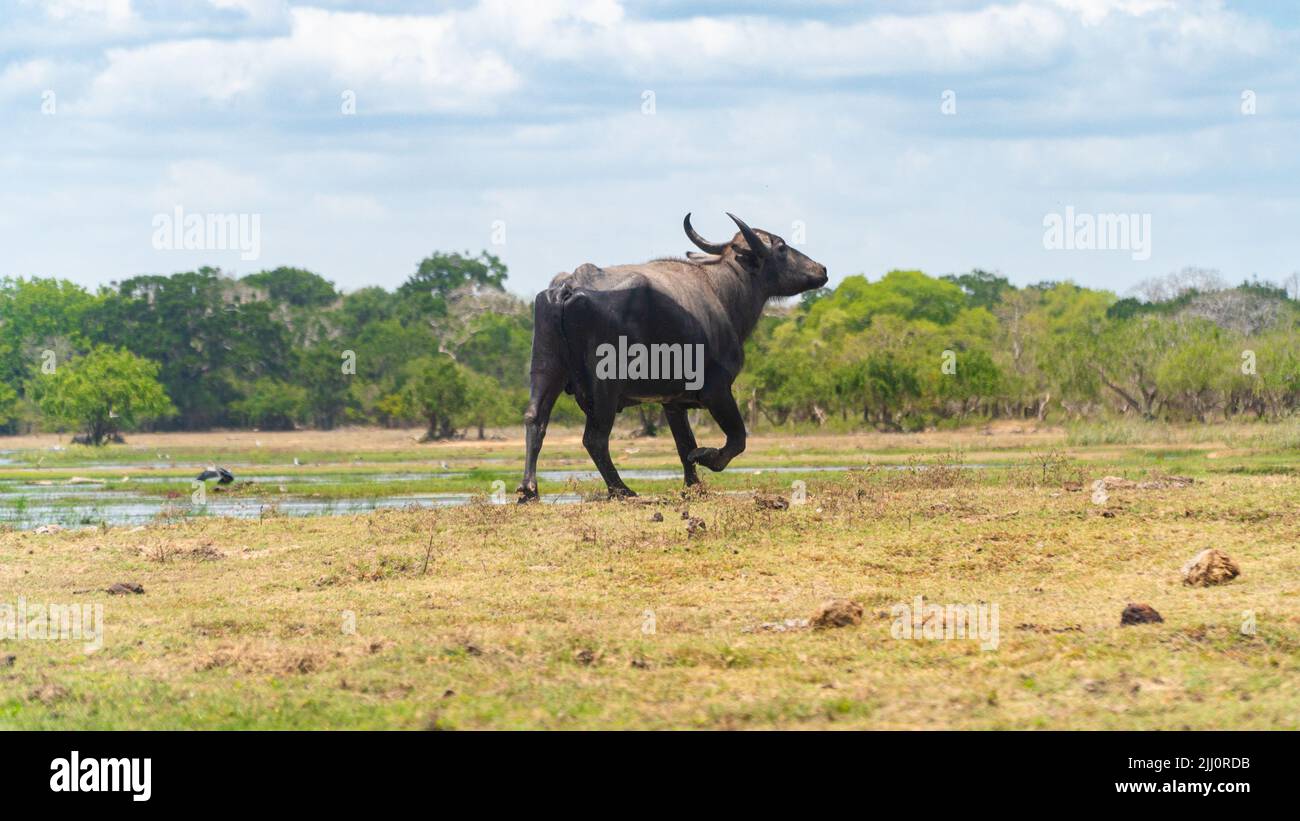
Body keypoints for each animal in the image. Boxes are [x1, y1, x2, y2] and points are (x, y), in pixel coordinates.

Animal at [517, 213, 829, 501]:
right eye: (781, 247)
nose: (822, 269)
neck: (723, 293)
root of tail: (568, 287)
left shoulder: (673, 401)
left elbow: (684, 444)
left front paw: (694, 486)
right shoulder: (717, 390)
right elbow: (736, 439)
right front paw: (705, 457)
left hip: (545, 368)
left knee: (536, 419)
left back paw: (529, 489)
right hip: (604, 385)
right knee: (594, 439)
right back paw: (621, 489)